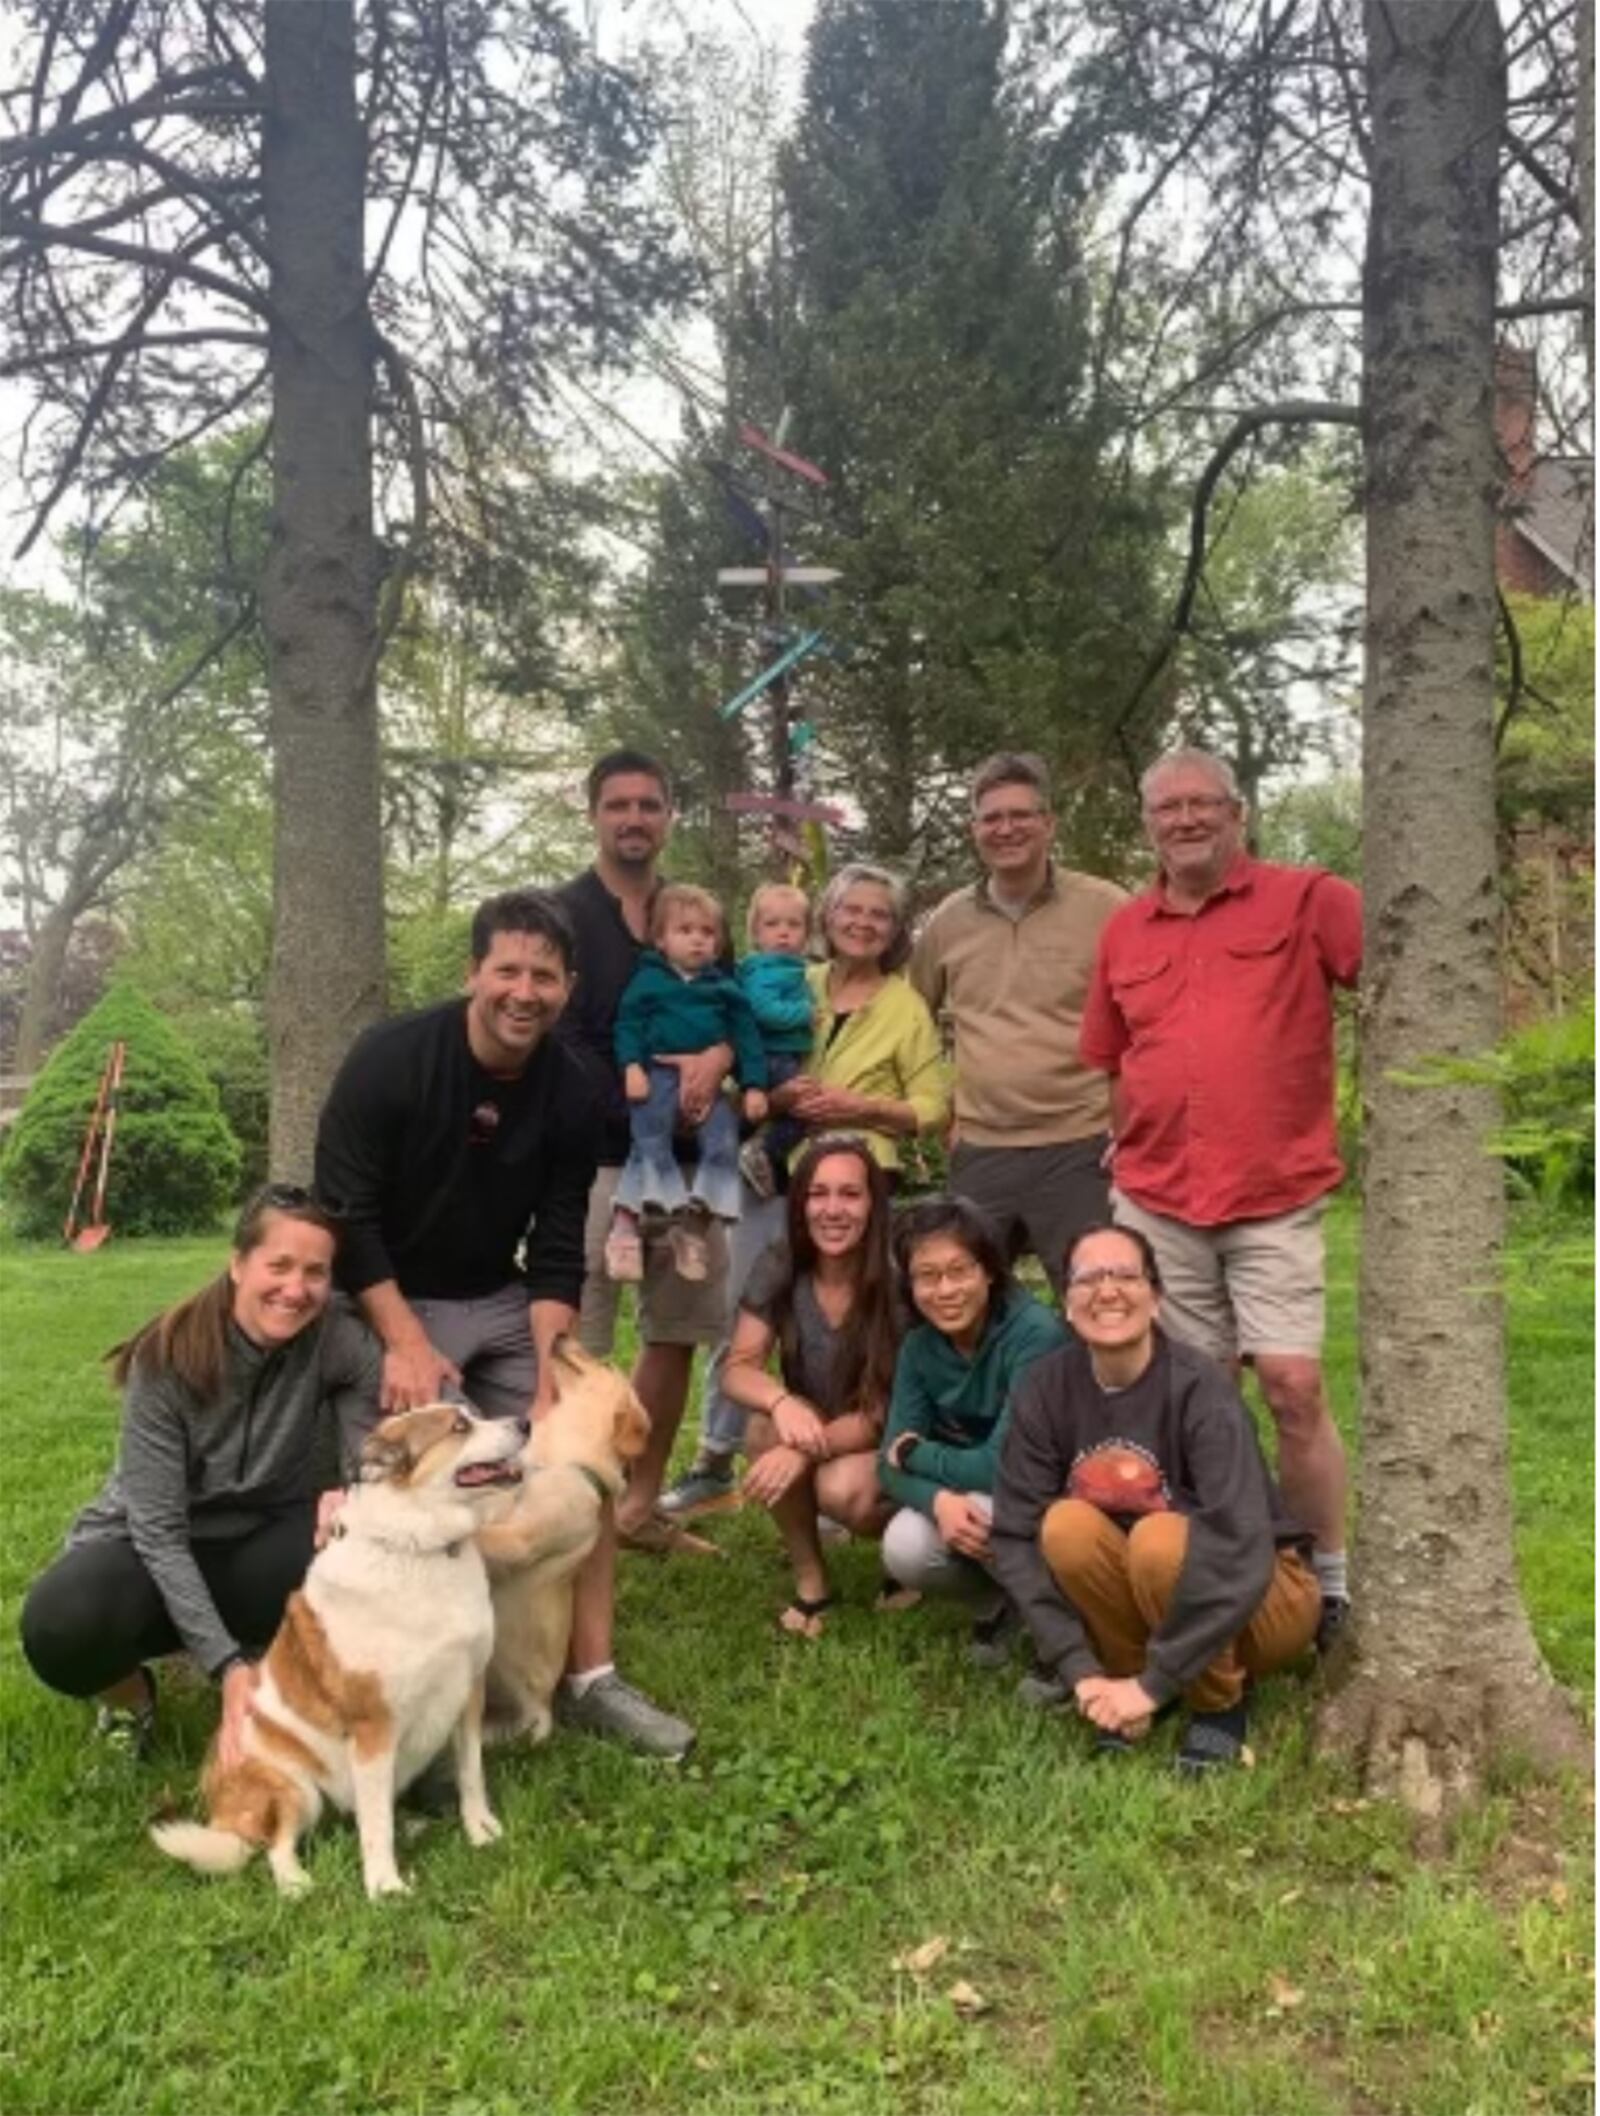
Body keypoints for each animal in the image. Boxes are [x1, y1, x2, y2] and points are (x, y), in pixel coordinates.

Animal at [148, 1405, 518, 1904]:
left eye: (474, 1414)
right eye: (459, 1426)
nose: (525, 1425)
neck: (420, 1551)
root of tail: (219, 1804)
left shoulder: (468, 1692)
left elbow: (471, 1773)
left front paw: (480, 1831)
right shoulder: (373, 1729)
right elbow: (376, 1825)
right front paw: (385, 1887)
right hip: (295, 1789)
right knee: (275, 1846)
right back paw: (295, 1884)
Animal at [478, 1337, 647, 1752]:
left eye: (606, 1363)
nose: (560, 1336)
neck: (554, 1461)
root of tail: (545, 1709)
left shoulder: (519, 1539)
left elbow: (482, 1534)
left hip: (521, 1728)